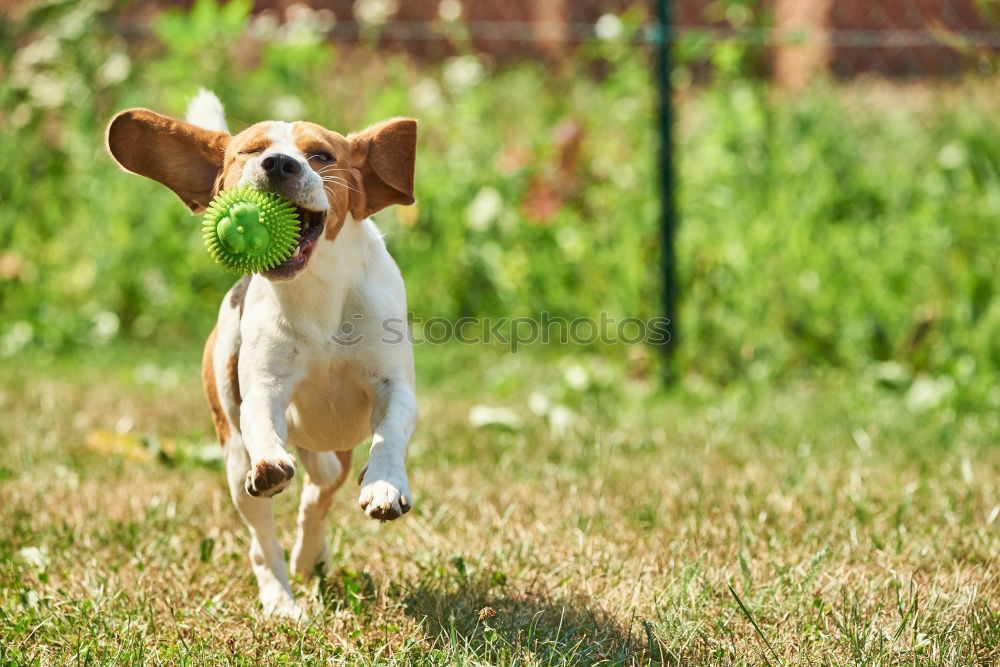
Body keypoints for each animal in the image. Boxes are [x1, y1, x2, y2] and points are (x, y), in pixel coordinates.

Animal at [108, 91, 418, 620]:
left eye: (321, 156)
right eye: (249, 152)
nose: (278, 163)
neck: (316, 291)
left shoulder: (393, 387)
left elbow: (390, 432)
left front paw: (384, 484)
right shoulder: (264, 389)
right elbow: (261, 418)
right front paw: (272, 461)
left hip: (333, 451)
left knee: (319, 491)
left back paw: (310, 556)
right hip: (234, 463)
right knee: (262, 538)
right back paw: (280, 598)